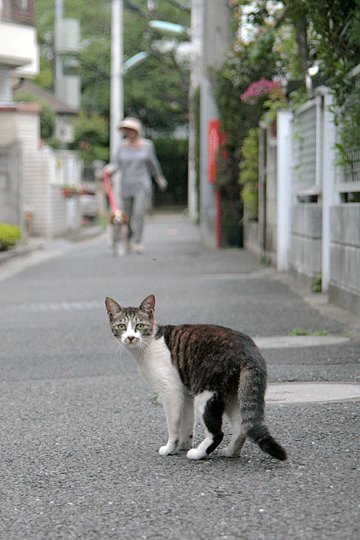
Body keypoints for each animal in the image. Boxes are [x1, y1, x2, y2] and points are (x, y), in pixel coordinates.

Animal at [105, 294, 286, 462]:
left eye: (140, 326)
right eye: (122, 326)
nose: (130, 337)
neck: (146, 347)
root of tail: (249, 350)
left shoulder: (171, 391)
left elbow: (173, 425)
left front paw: (170, 448)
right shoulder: (185, 393)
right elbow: (186, 423)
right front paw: (183, 445)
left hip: (206, 394)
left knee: (217, 433)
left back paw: (198, 453)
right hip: (232, 395)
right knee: (241, 427)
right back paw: (230, 452)